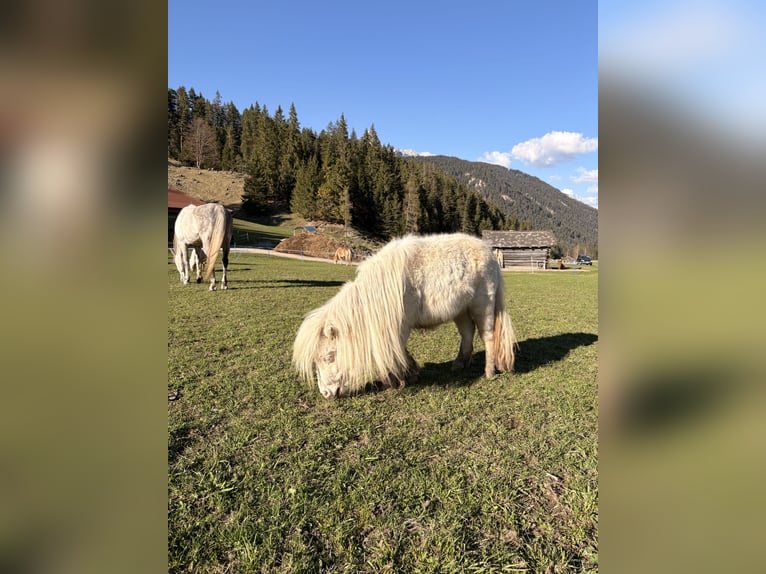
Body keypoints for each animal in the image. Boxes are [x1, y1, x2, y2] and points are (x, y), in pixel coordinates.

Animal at [293, 233, 517, 398]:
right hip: (461, 310)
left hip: (483, 305)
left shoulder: (400, 326)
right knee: (467, 333)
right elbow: (400, 351)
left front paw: (395, 380)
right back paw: (459, 364)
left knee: (488, 336)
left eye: (329, 357)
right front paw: (409, 373)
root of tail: (490, 254)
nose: (325, 393)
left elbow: (396, 350)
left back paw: (489, 371)